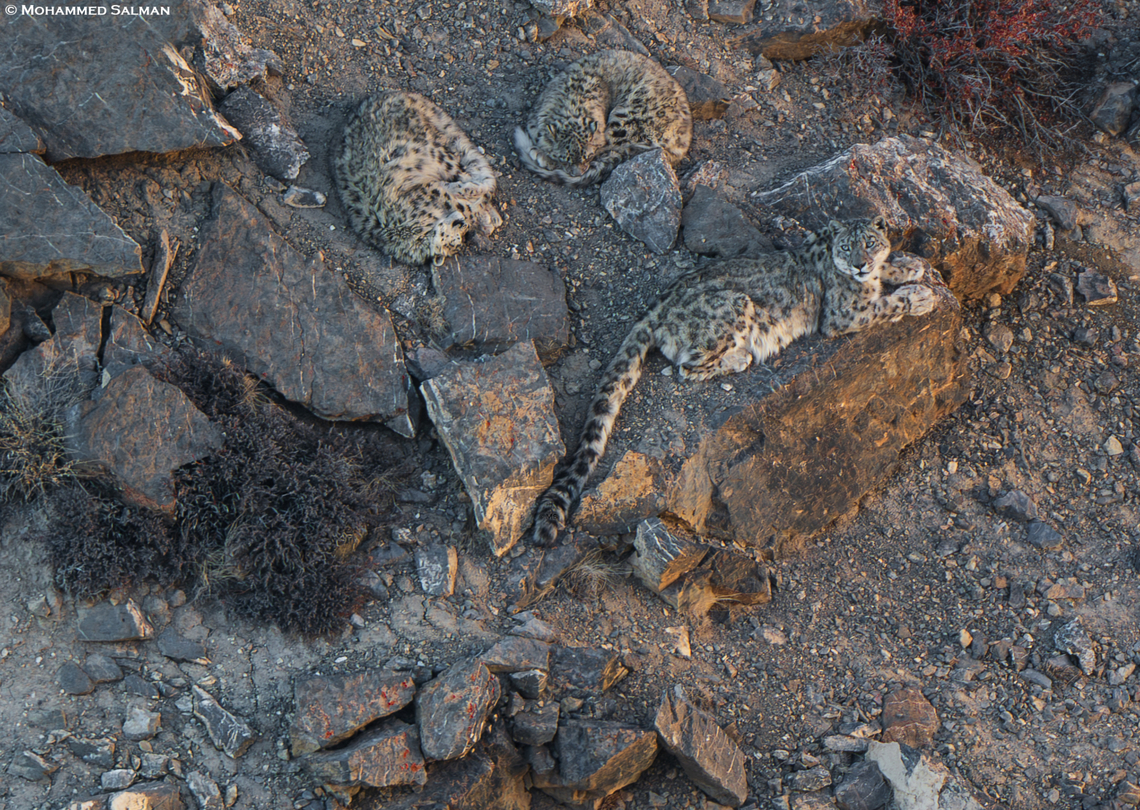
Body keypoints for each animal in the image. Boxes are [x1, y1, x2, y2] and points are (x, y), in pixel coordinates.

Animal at [334, 91, 502, 266]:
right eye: (455, 238)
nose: (461, 222)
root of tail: (399, 94)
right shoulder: (433, 194)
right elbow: (465, 205)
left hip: (434, 152)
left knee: (471, 175)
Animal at [514, 49, 692, 186]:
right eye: (567, 158)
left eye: (587, 156)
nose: (579, 172)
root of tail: (682, 144)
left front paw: (543, 156)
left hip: (626, 119)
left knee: (615, 148)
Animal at [531, 216, 939, 546]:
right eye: (846, 247)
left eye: (869, 242)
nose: (859, 265)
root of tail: (655, 307)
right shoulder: (845, 313)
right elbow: (887, 304)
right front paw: (920, 296)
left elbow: (889, 274)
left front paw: (909, 265)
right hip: (733, 309)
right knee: (686, 367)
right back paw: (741, 356)